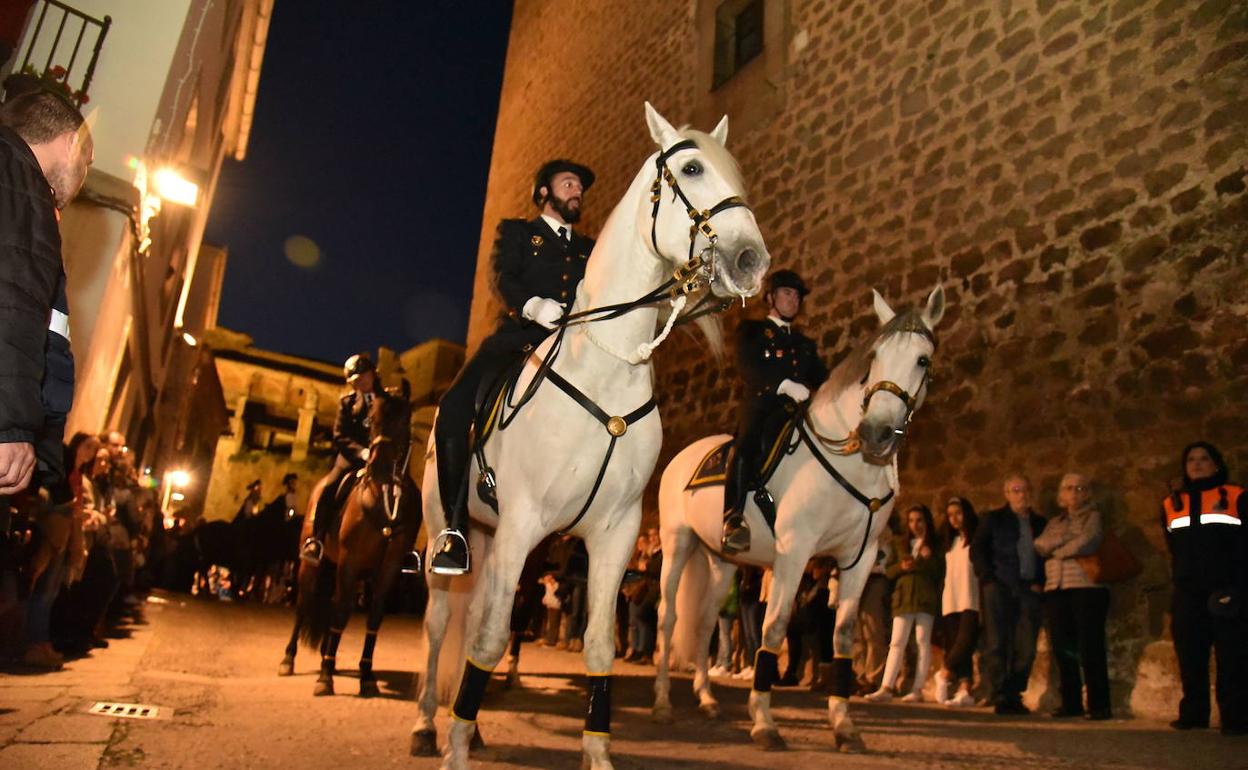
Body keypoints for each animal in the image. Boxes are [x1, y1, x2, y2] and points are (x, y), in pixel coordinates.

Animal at [277, 384, 421, 698]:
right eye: (373, 421)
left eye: (404, 420)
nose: (378, 468)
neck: (384, 497)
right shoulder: (350, 560)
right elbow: (341, 611)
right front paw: (325, 677)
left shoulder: (388, 566)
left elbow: (374, 616)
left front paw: (366, 674)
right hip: (313, 566)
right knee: (305, 604)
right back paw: (289, 659)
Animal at [411, 103, 768, 768]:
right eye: (691, 168)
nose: (751, 260)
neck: (607, 369)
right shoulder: (523, 521)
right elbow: (491, 638)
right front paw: (455, 750)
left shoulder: (613, 532)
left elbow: (599, 645)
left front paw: (596, 752)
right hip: (451, 528)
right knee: (441, 625)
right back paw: (428, 724)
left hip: (497, 538)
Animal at [653, 283, 943, 748]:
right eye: (874, 358)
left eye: (923, 360)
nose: (875, 433)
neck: (850, 463)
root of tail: (686, 455)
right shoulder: (794, 551)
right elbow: (773, 629)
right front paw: (764, 721)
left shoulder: (859, 559)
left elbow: (842, 636)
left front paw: (843, 724)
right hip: (677, 544)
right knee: (668, 618)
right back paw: (663, 702)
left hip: (721, 562)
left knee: (704, 623)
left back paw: (707, 699)